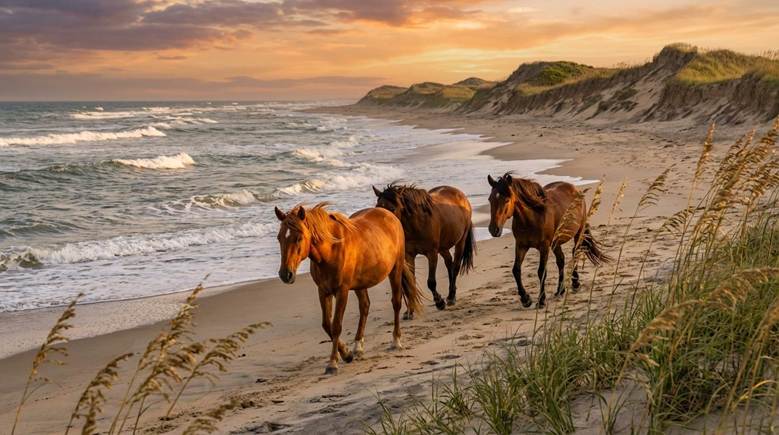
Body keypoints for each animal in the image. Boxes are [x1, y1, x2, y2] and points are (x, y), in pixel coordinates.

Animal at [275, 203, 423, 375]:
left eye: (298, 238)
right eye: (279, 238)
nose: (285, 274)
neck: (331, 251)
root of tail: (390, 215)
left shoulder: (342, 291)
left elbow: (336, 326)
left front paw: (333, 363)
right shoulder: (323, 291)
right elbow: (327, 324)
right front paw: (346, 353)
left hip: (395, 270)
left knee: (396, 303)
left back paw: (396, 341)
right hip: (361, 284)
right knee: (365, 306)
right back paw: (357, 346)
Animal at [487, 173, 610, 308]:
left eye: (507, 200)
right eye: (490, 199)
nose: (494, 230)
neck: (532, 217)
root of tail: (576, 190)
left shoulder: (544, 246)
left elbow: (541, 271)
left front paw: (541, 300)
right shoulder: (521, 245)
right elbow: (516, 270)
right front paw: (525, 299)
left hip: (579, 233)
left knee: (575, 252)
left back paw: (575, 282)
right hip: (556, 243)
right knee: (561, 260)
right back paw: (560, 290)